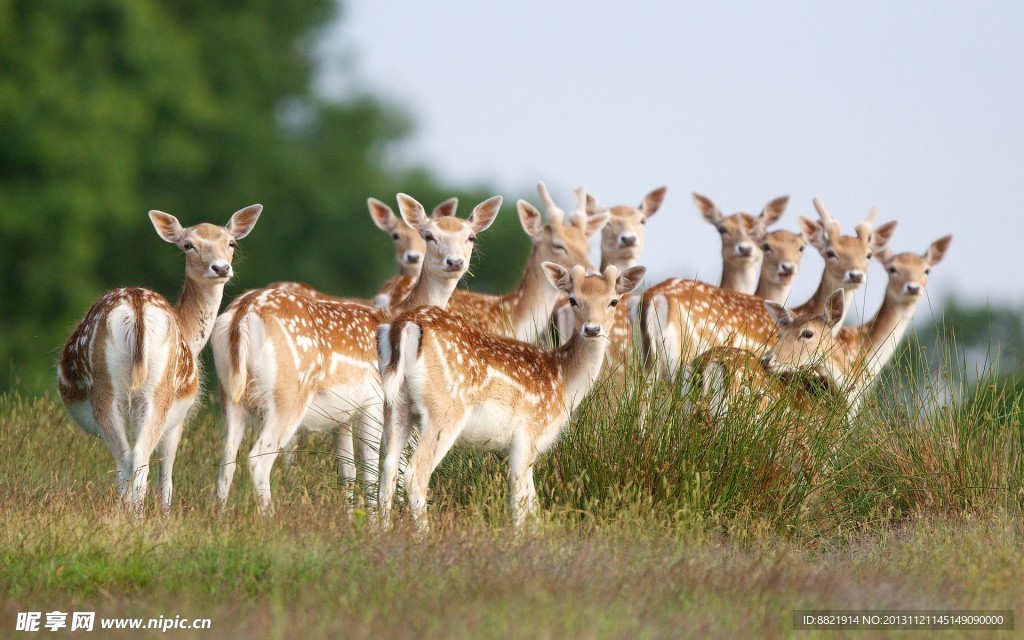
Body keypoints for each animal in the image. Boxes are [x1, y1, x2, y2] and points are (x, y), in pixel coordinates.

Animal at [57, 204, 264, 514]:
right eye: (188, 245)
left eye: (231, 243)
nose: (220, 268)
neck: (190, 333)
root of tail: (137, 310)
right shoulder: (179, 420)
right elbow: (166, 477)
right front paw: (166, 515)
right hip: (157, 392)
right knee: (136, 458)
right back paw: (136, 515)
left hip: (115, 391)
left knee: (127, 457)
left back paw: (124, 512)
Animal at [211, 192, 499, 512]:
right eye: (429, 235)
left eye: (470, 236)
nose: (455, 261)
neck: (395, 311)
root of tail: (243, 315)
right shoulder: (374, 400)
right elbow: (373, 470)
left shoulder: (343, 417)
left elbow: (348, 472)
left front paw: (353, 516)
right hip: (288, 392)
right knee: (257, 460)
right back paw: (270, 517)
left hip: (230, 393)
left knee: (226, 459)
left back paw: (221, 516)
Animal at [376, 261, 647, 528]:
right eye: (573, 299)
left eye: (613, 301)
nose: (592, 329)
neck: (563, 381)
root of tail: (404, 324)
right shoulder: (528, 433)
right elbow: (520, 499)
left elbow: (533, 503)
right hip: (445, 408)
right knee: (416, 472)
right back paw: (424, 533)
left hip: (396, 403)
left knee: (388, 469)